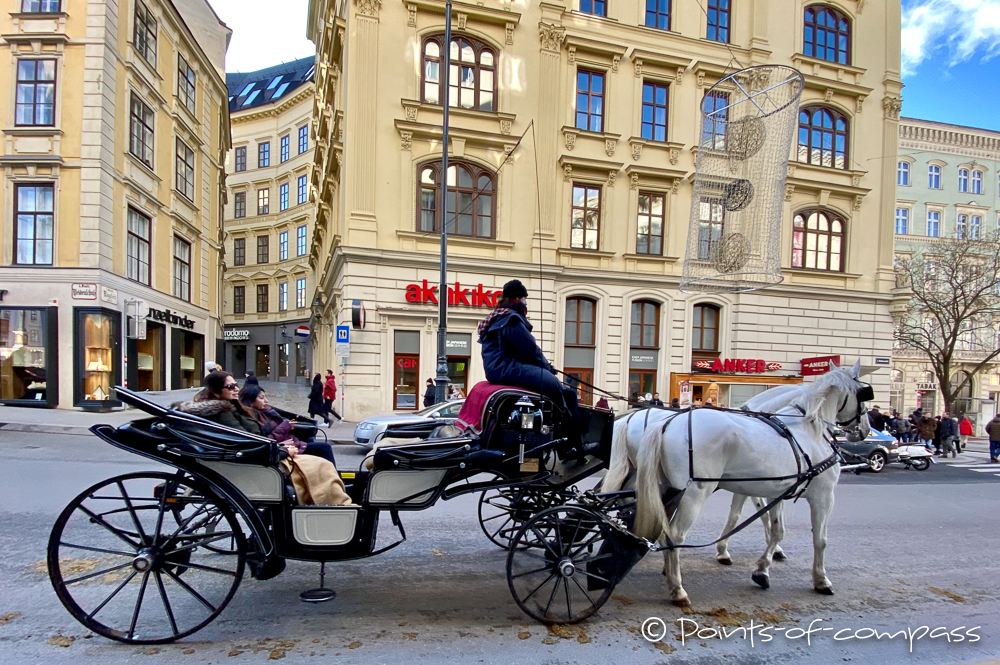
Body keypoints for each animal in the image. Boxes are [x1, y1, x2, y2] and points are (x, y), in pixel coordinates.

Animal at [636, 366, 872, 604]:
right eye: (863, 394)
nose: (865, 429)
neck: (808, 430)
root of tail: (667, 424)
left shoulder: (774, 491)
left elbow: (776, 529)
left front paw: (762, 569)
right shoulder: (823, 496)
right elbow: (820, 539)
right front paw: (821, 580)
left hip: (669, 490)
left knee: (664, 530)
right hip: (694, 493)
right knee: (674, 535)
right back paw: (677, 589)